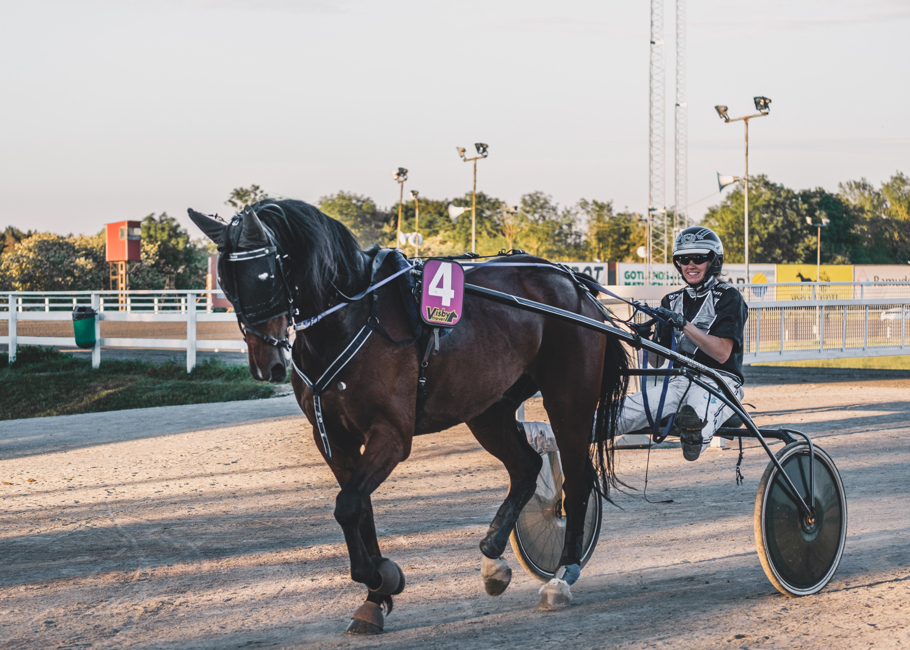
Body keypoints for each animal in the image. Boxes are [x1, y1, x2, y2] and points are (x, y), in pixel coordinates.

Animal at [189, 199, 632, 632]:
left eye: (262, 275)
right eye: (226, 281)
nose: (266, 365)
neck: (351, 318)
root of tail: (574, 285)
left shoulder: (391, 434)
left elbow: (347, 505)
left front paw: (382, 576)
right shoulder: (333, 439)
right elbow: (359, 508)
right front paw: (375, 597)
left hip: (568, 400)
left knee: (576, 482)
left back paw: (562, 575)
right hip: (489, 408)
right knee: (526, 467)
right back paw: (493, 559)